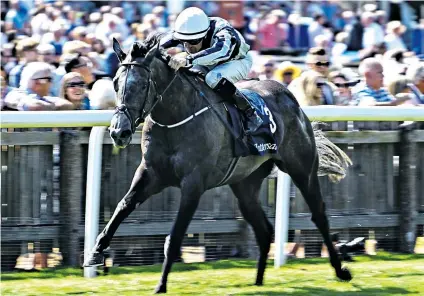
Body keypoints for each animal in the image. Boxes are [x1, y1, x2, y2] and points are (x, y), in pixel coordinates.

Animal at [84, 35, 352, 294]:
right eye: (116, 83)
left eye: (141, 85)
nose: (119, 132)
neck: (174, 117)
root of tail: (291, 98)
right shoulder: (151, 174)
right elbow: (123, 206)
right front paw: (96, 252)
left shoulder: (193, 183)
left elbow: (175, 237)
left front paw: (161, 285)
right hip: (245, 184)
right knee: (264, 229)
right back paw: (258, 281)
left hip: (302, 170)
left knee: (319, 215)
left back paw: (341, 271)